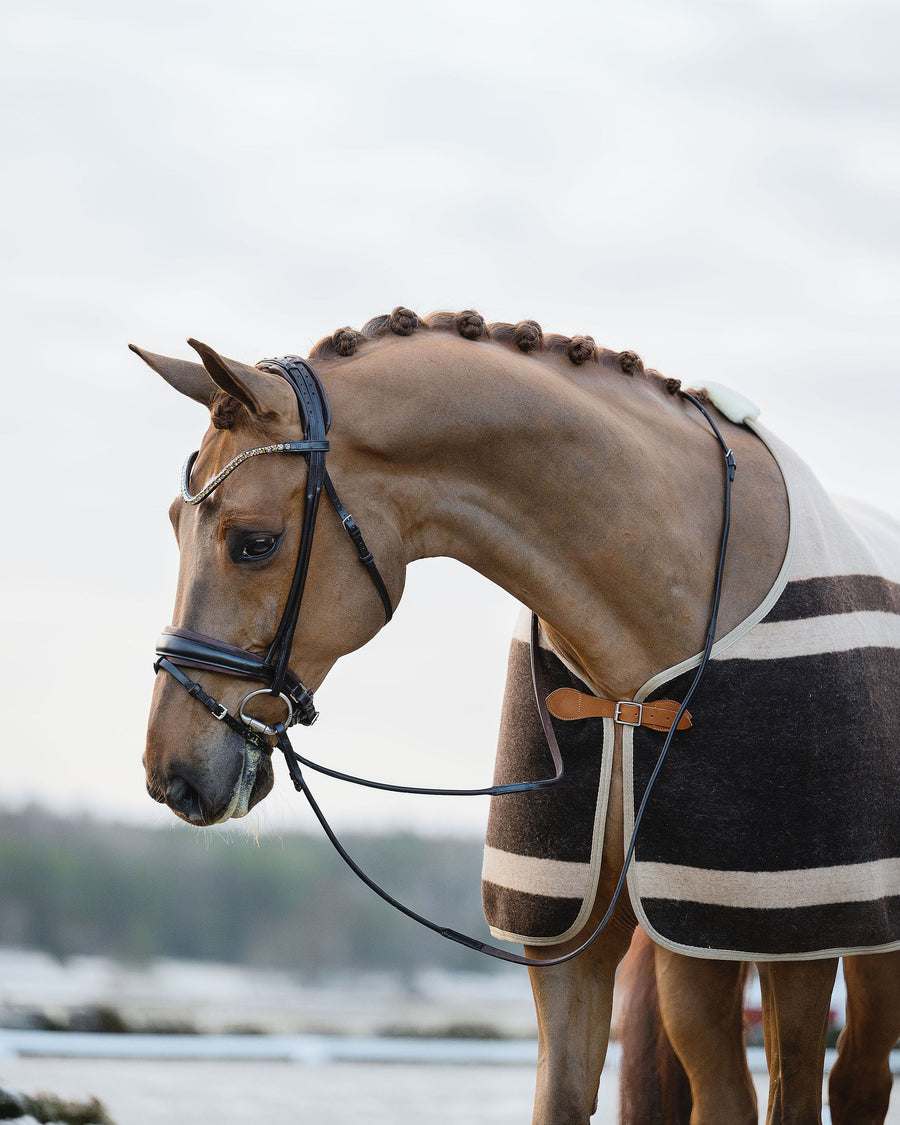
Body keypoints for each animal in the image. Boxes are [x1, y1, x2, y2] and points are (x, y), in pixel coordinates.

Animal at [135, 308, 900, 1125]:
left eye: (255, 543)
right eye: (174, 522)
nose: (171, 772)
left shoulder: (800, 941)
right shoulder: (573, 941)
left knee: (856, 1081)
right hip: (690, 946)